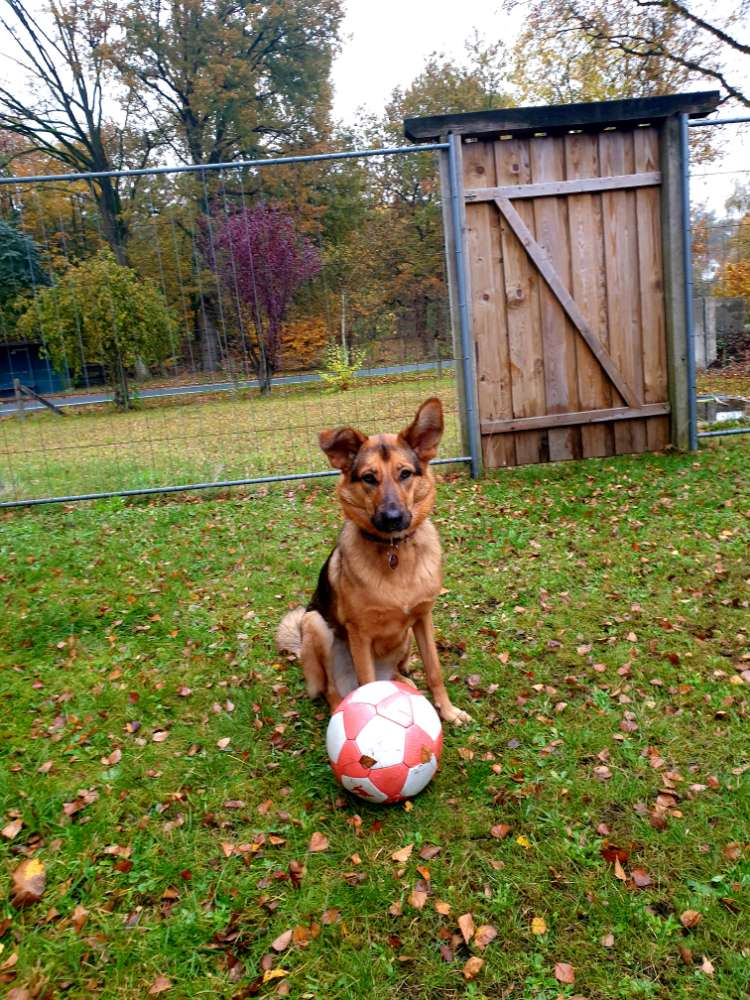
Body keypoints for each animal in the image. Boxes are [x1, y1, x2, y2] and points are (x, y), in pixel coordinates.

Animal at [280, 396, 470, 728]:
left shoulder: (423, 619)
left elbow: (434, 670)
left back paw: (406, 683)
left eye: (405, 474)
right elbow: (367, 684)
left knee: (396, 673)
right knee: (332, 689)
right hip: (315, 624)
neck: (395, 554)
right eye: (369, 478)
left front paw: (448, 711)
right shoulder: (360, 635)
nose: (392, 518)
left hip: (404, 639)